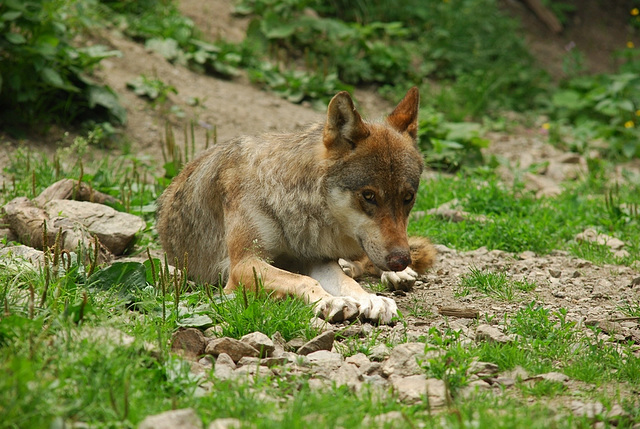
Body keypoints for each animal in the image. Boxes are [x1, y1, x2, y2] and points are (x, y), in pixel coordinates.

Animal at [155, 86, 436, 320]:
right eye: (369, 196)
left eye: (408, 198)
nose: (400, 260)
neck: (298, 206)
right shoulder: (244, 264)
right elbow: (302, 279)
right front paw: (331, 301)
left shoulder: (317, 259)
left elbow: (347, 283)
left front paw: (371, 299)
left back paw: (395, 274)